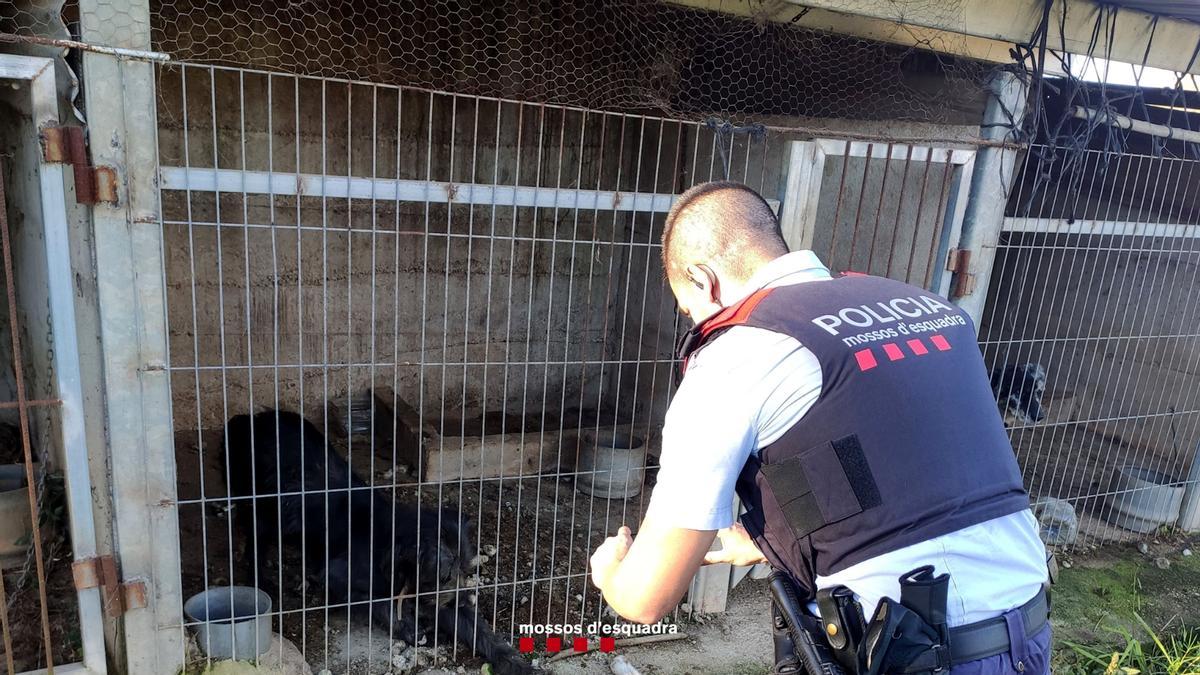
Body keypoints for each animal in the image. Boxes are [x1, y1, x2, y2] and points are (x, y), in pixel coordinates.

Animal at [223, 408, 532, 667]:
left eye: (467, 570)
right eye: (444, 575)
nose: (464, 600)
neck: (391, 552)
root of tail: (249, 419)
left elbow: (480, 631)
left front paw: (512, 660)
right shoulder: (338, 576)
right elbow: (377, 601)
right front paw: (407, 626)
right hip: (260, 509)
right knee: (255, 543)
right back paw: (261, 580)